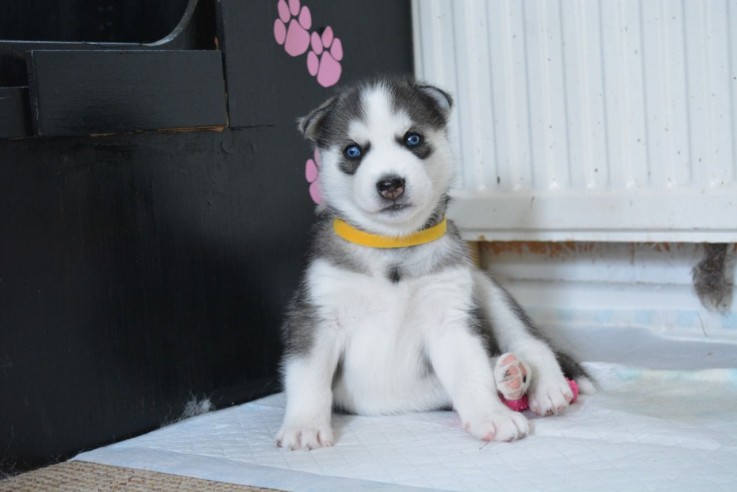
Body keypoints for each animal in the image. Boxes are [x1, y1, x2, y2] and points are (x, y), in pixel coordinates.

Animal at [276, 78, 592, 450]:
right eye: (353, 151)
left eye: (413, 139)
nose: (390, 184)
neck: (393, 247)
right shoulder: (318, 315)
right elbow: (308, 375)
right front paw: (304, 426)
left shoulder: (449, 317)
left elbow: (471, 374)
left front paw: (491, 415)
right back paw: (509, 375)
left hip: (485, 288)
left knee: (529, 339)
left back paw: (539, 382)